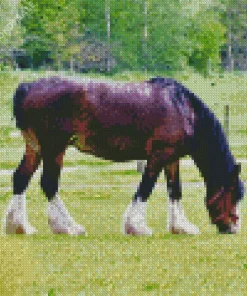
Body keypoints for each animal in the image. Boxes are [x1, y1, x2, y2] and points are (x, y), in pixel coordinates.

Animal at [4, 76, 245, 236]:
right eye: (234, 194)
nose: (233, 227)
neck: (182, 108)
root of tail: (28, 87)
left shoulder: (171, 158)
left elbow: (175, 190)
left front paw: (181, 227)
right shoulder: (158, 156)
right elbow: (146, 187)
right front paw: (136, 227)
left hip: (35, 148)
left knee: (21, 178)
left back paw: (20, 226)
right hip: (54, 148)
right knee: (49, 183)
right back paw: (67, 227)